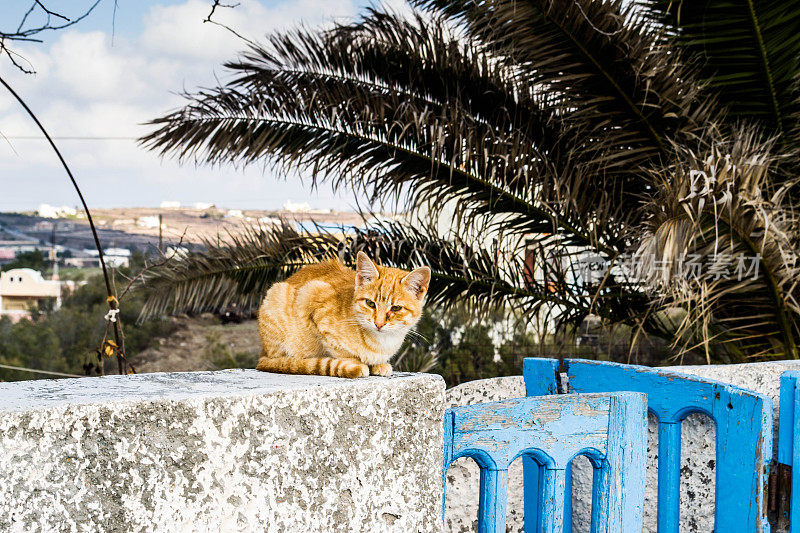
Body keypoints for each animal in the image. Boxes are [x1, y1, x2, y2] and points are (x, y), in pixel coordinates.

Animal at [256, 251, 432, 376]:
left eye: (396, 308)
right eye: (370, 303)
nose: (379, 323)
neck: (381, 343)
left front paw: (378, 364)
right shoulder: (313, 297)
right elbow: (338, 350)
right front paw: (354, 362)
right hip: (276, 295)